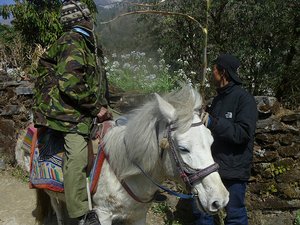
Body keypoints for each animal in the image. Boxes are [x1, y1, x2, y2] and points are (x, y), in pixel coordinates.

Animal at [35, 85, 229, 224]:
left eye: (211, 142)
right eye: (183, 148)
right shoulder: (102, 214)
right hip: (51, 194)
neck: (122, 170)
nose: (220, 200)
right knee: (58, 209)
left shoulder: (138, 215)